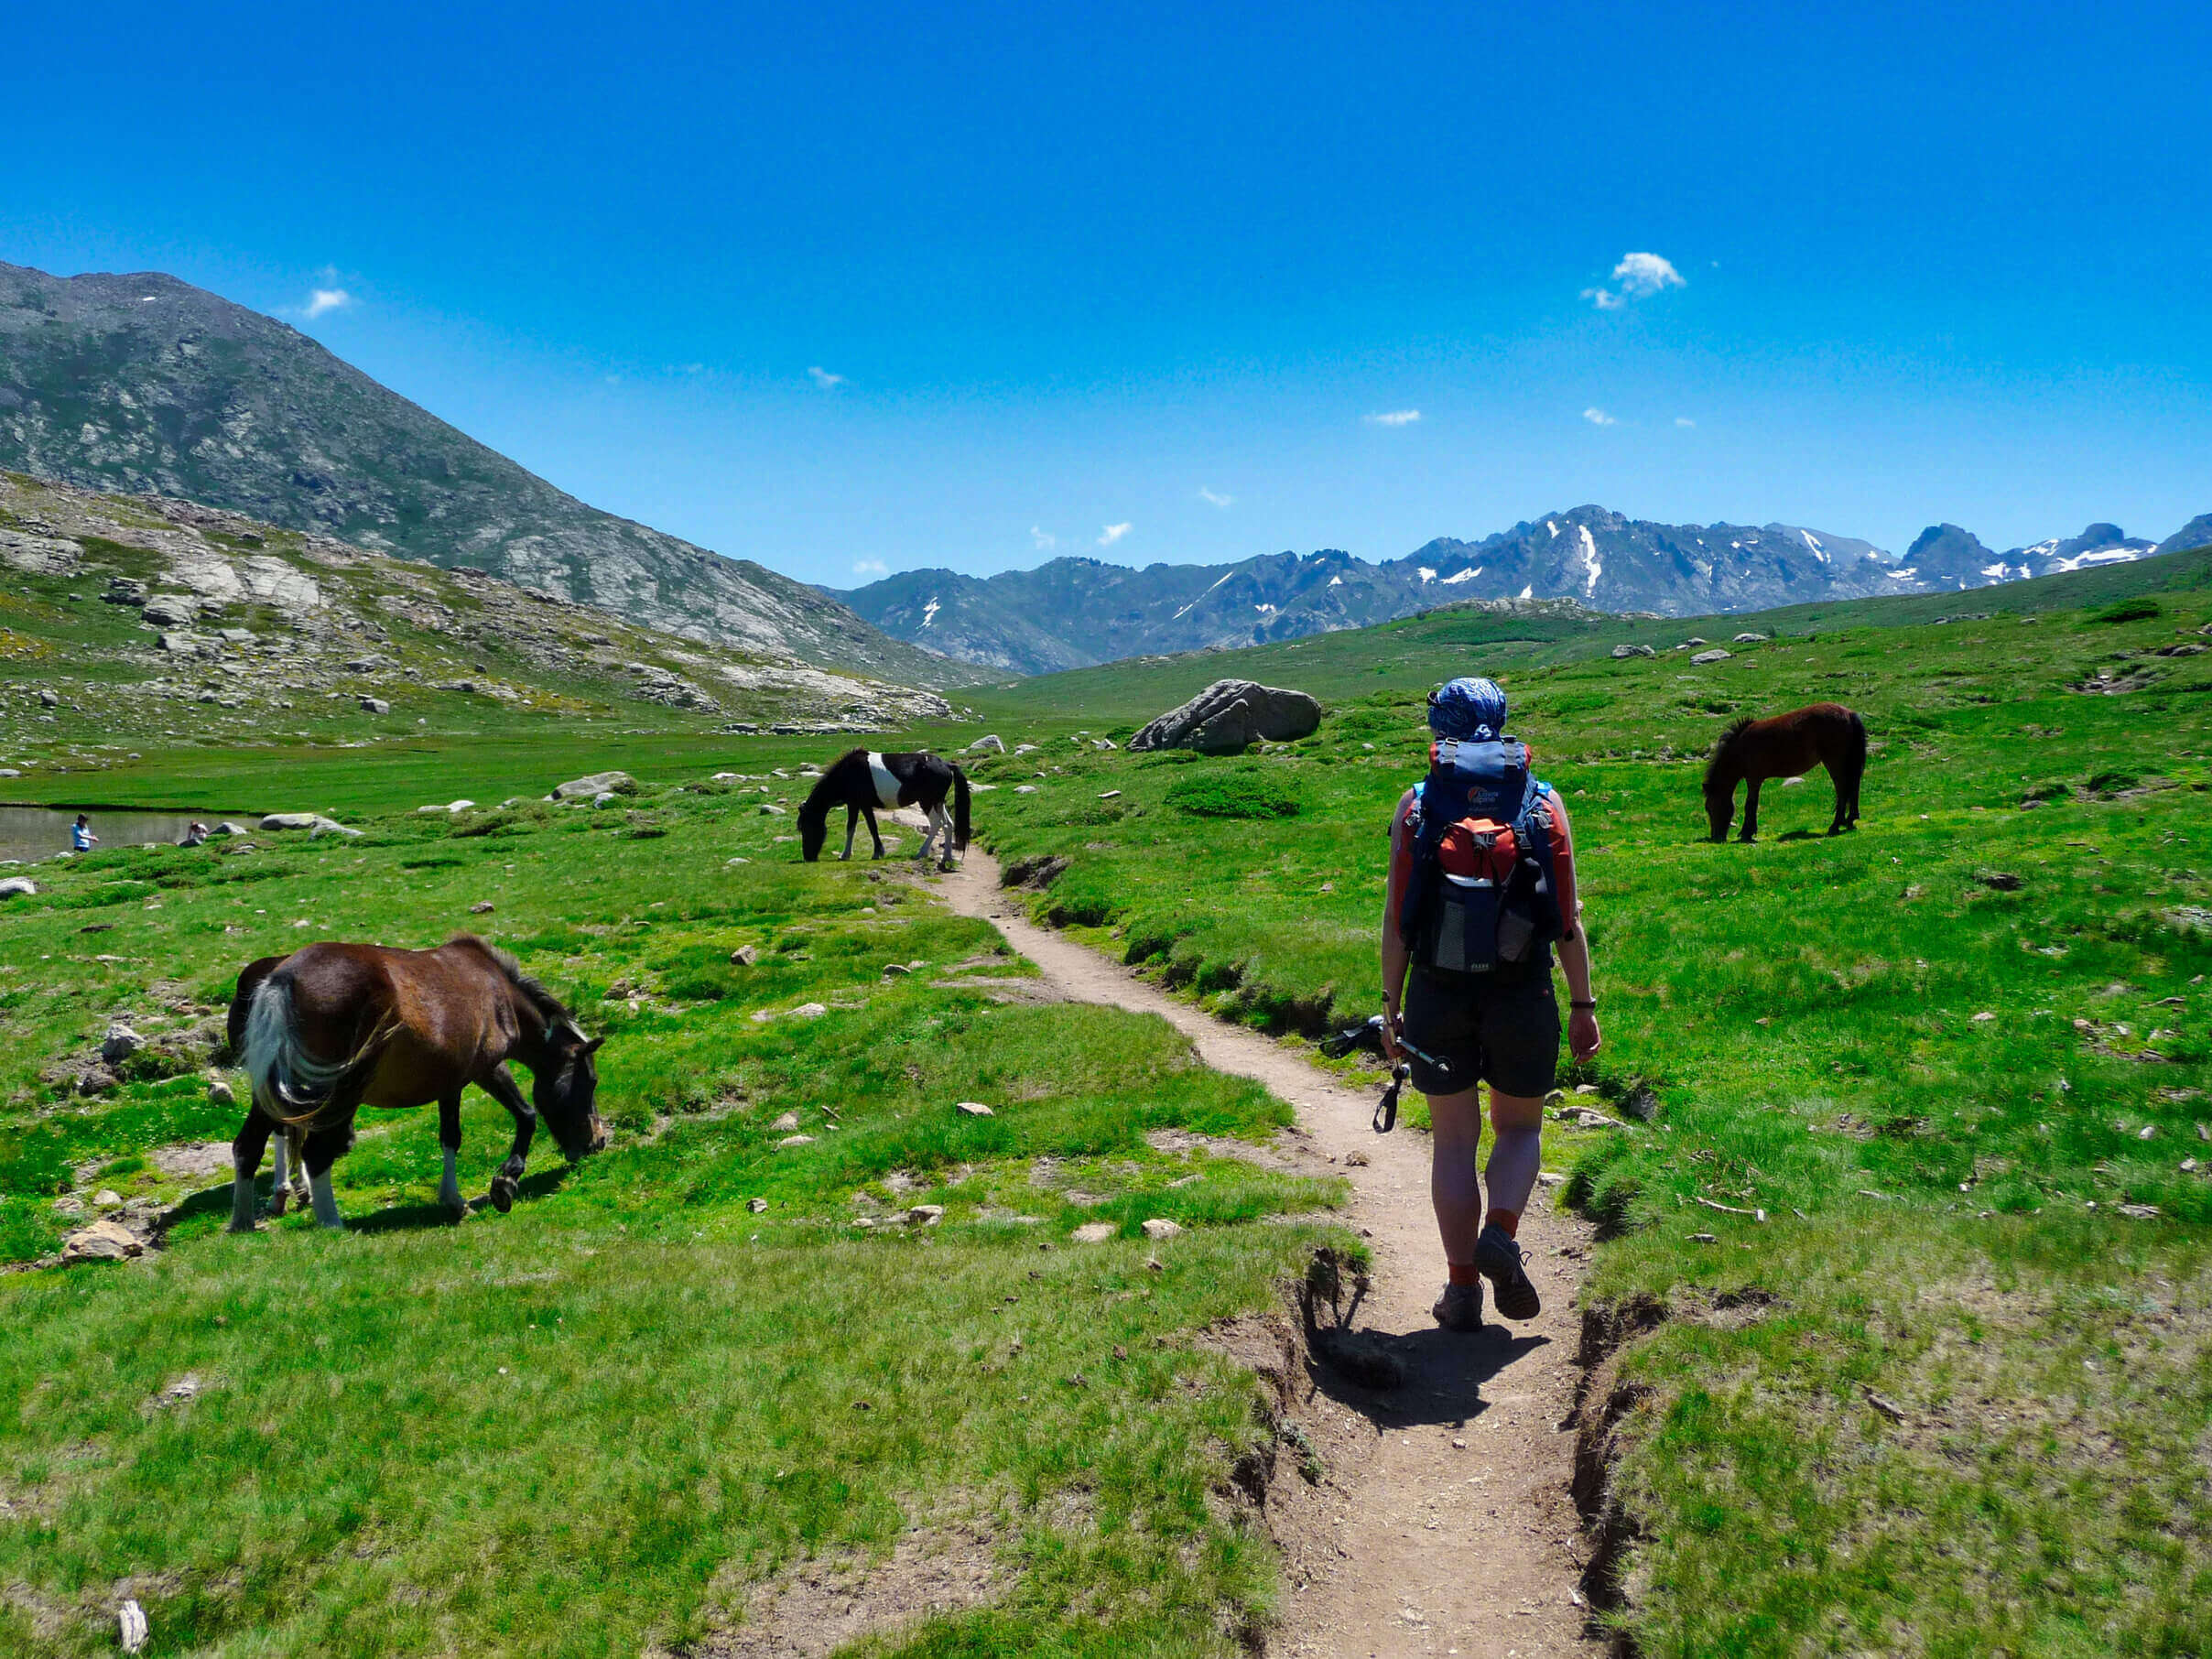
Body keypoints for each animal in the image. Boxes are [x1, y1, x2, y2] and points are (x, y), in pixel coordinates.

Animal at [227, 938, 605, 1238]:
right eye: (590, 1083)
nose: (598, 1142)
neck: (499, 994)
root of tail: (281, 981)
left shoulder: (450, 1082)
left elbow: (450, 1137)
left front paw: (457, 1200)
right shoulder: (485, 1070)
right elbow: (524, 1116)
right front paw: (504, 1184)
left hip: (276, 1090)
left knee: (248, 1146)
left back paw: (243, 1222)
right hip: (340, 1090)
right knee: (316, 1153)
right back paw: (332, 1223)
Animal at [796, 752, 969, 871]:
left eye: (806, 827)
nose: (808, 857)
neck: (848, 773)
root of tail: (946, 765)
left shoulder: (859, 804)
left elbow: (863, 827)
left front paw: (856, 854)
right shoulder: (858, 805)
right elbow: (859, 827)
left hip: (927, 802)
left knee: (936, 824)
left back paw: (921, 853)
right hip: (938, 803)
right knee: (948, 824)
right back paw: (946, 858)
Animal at [1708, 708, 1867, 849]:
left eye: (1710, 807)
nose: (1716, 837)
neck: (1741, 748)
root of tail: (1849, 714)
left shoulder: (1754, 779)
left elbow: (1750, 804)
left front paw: (1747, 833)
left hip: (1834, 762)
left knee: (1842, 790)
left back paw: (1835, 825)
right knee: (1853, 787)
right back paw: (1850, 821)